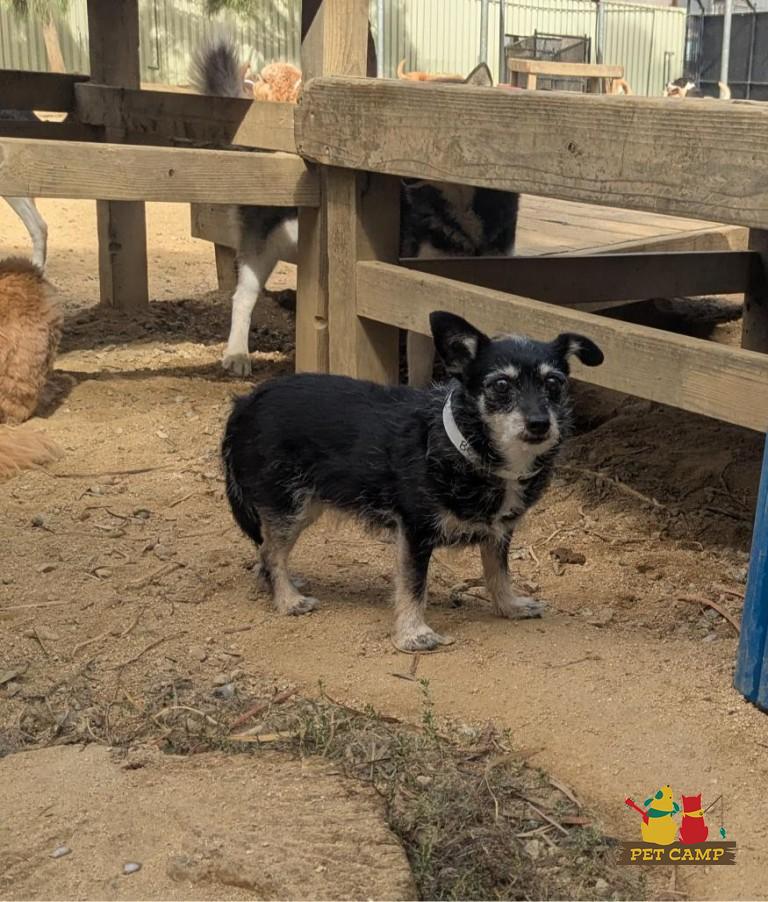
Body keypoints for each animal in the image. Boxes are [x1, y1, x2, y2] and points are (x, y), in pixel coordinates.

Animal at [222, 311, 603, 651]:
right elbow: (413, 586)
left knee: (268, 550)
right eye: (501, 385)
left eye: (554, 383)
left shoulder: (499, 532)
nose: (540, 423)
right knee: (271, 551)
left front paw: (509, 606)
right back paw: (288, 599)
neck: (468, 446)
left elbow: (498, 572)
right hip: (290, 506)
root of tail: (245, 402)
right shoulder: (415, 531)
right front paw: (413, 634)